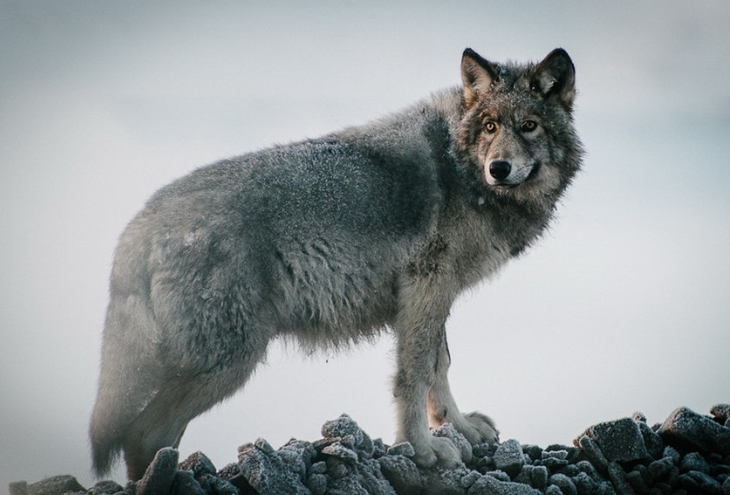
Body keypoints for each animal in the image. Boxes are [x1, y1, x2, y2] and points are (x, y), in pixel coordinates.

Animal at [89, 47, 580, 480]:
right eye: (491, 126)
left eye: (529, 126)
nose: (499, 168)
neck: (460, 167)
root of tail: (137, 229)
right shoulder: (428, 287)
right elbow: (416, 373)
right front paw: (421, 450)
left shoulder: (435, 294)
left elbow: (439, 366)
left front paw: (457, 428)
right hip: (229, 362)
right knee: (144, 434)